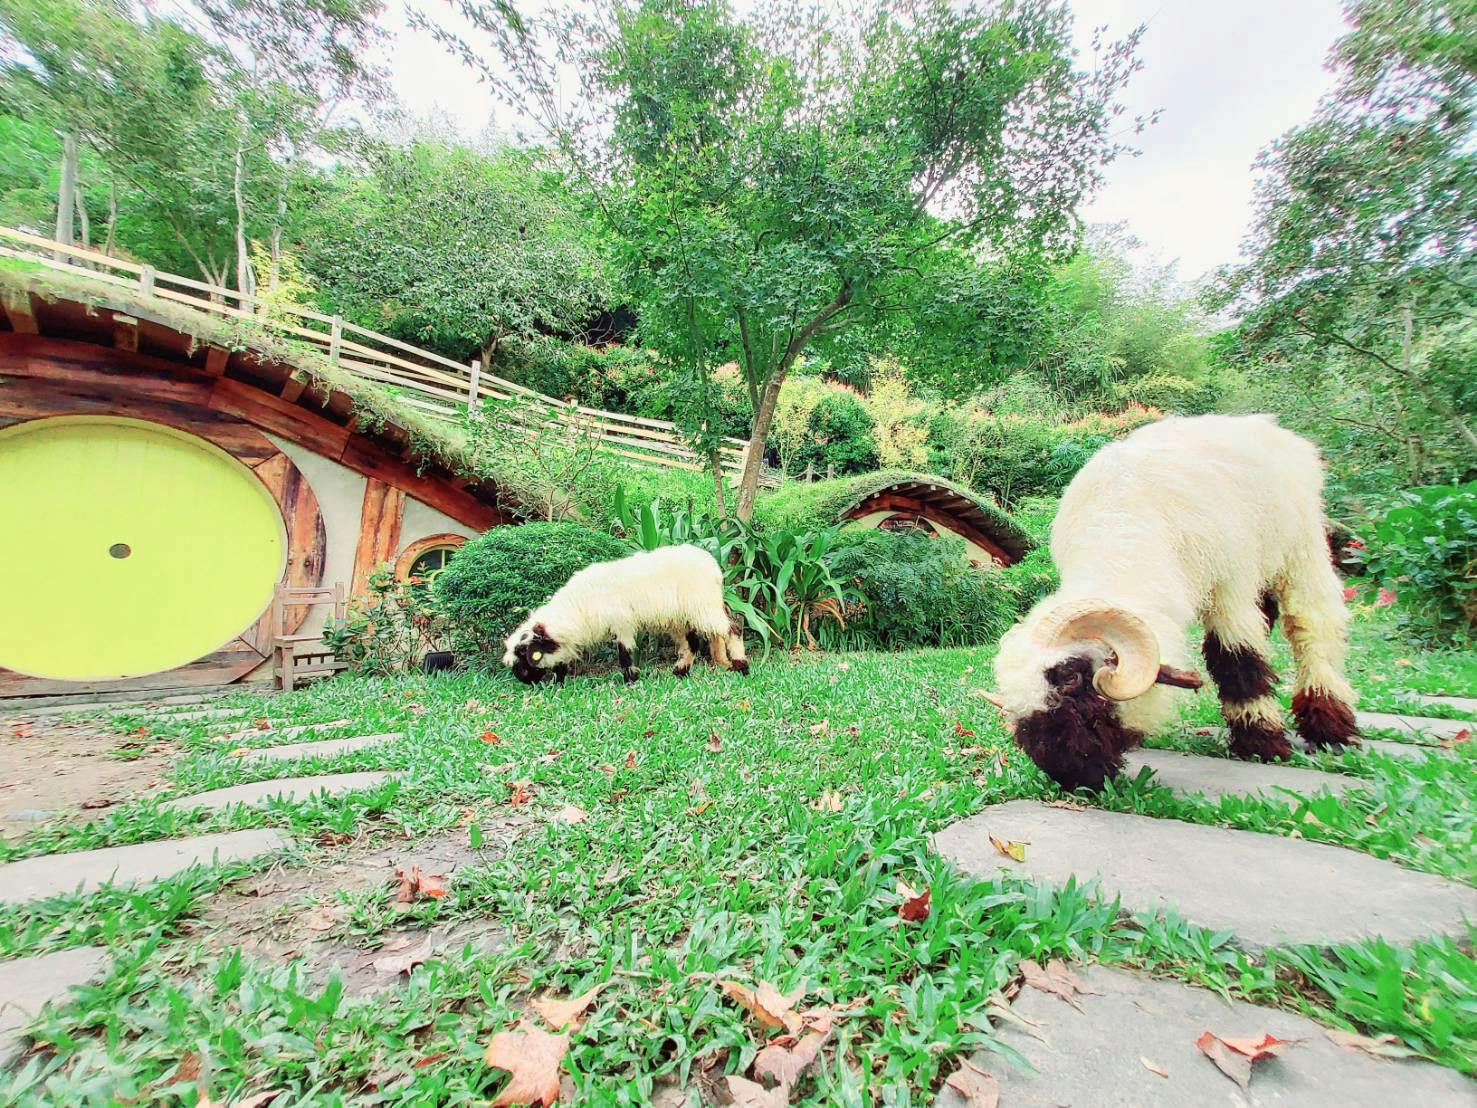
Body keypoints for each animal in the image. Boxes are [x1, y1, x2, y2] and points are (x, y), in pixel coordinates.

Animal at [503, 544, 749, 684]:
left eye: (525, 656)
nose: (523, 680)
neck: (579, 607)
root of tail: (713, 565)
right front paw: (558, 682)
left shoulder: (622, 623)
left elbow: (625, 653)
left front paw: (630, 680)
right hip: (680, 616)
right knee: (692, 644)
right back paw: (680, 672)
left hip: (703, 605)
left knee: (732, 628)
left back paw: (741, 666)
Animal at [993, 414, 1359, 791]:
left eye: (1071, 678)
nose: (1069, 776)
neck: (1124, 522)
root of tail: (1260, 422)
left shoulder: (1230, 587)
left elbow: (1238, 659)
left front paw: (1261, 743)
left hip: (1300, 548)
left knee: (1313, 624)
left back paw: (1330, 727)